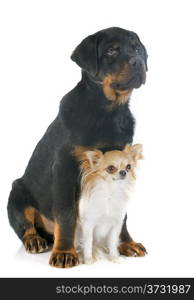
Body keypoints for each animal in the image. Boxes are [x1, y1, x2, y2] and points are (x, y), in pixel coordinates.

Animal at [6, 27, 148, 268]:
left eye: (137, 49)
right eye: (111, 51)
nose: (138, 61)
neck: (108, 111)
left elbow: (121, 216)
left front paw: (126, 243)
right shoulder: (65, 168)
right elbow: (66, 213)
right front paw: (64, 252)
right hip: (16, 191)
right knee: (25, 224)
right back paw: (35, 240)